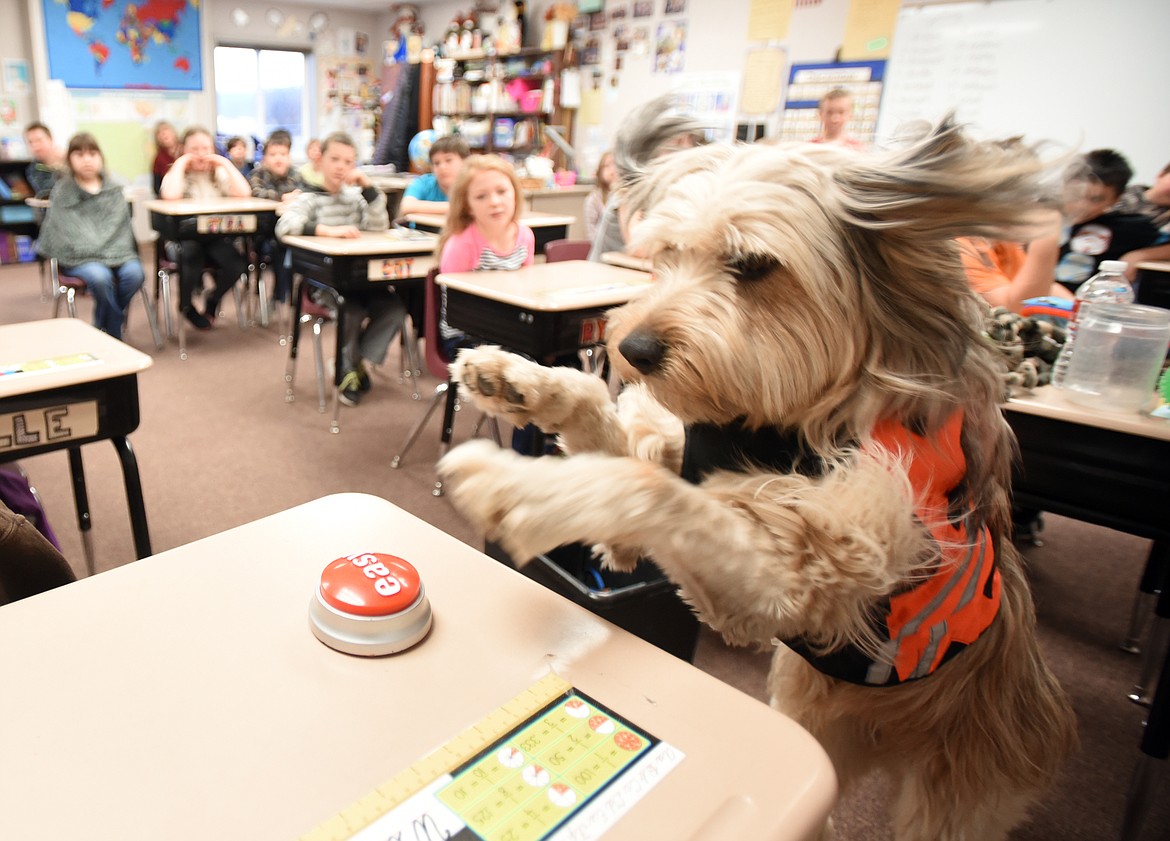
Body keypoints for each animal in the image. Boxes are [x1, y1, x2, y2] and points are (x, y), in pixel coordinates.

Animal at [437, 119, 1076, 841]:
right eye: (667, 253)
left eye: (753, 265)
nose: (632, 349)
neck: (794, 419)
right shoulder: (685, 463)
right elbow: (605, 423)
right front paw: (516, 379)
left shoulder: (799, 573)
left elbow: (645, 487)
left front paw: (522, 491)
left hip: (951, 794)